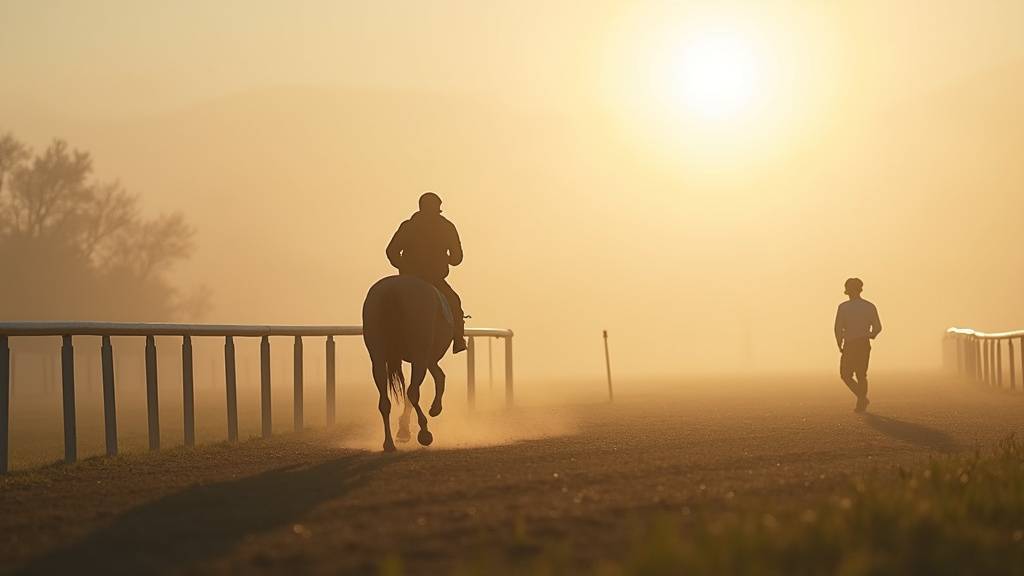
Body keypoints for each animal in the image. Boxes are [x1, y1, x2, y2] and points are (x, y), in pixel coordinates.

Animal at [362, 275, 454, 452]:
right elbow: (431, 380)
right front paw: (434, 409)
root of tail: (393, 290)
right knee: (412, 392)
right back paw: (425, 433)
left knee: (384, 401)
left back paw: (389, 443)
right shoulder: (424, 356)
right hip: (419, 352)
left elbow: (439, 376)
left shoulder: (427, 358)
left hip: (377, 355)